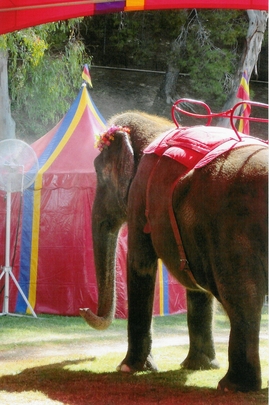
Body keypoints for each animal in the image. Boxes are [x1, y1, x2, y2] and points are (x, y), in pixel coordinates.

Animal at [79, 110, 266, 392]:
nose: (82, 310)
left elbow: (140, 263)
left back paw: (233, 386)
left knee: (242, 298)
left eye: (100, 175)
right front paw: (198, 366)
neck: (157, 128)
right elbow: (194, 285)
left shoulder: (140, 195)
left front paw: (128, 368)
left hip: (236, 236)